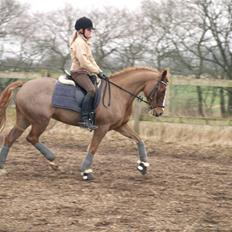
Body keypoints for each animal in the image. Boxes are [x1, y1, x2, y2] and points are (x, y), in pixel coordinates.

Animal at [0, 66, 169, 179]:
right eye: (161, 90)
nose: (159, 112)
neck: (119, 94)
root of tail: (25, 84)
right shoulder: (102, 127)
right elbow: (93, 148)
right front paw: (86, 171)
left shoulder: (120, 126)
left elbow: (139, 140)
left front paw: (143, 165)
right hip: (40, 120)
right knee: (32, 138)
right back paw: (53, 160)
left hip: (24, 119)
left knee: (10, 138)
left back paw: (3, 167)